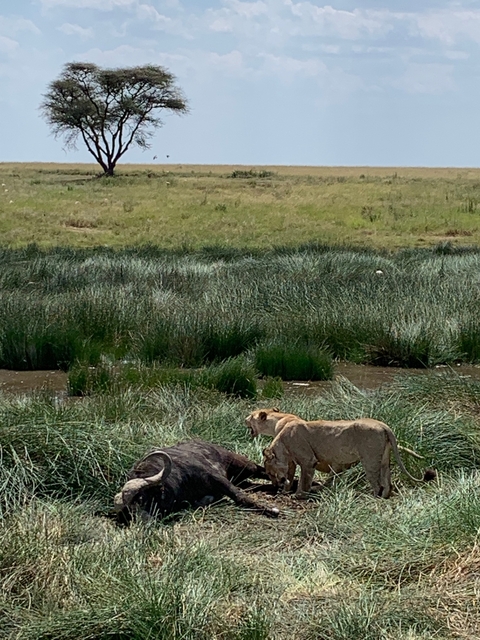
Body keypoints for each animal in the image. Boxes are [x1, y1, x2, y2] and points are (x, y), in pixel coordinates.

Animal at [258, 412, 434, 499]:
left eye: (270, 472)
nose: (274, 485)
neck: (282, 445)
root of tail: (384, 426)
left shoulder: (308, 461)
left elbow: (304, 480)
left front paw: (299, 495)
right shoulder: (293, 462)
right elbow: (291, 474)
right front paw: (286, 491)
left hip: (369, 460)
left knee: (377, 484)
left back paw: (372, 498)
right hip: (384, 459)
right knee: (387, 482)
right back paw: (384, 497)